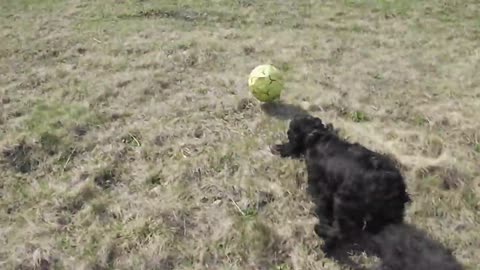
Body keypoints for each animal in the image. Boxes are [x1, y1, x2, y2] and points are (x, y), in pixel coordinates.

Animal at [272, 115, 410, 252]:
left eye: (290, 133)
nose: (277, 148)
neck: (316, 135)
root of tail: (395, 187)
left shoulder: (321, 190)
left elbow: (323, 210)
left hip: (342, 201)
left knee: (339, 232)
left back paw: (322, 235)